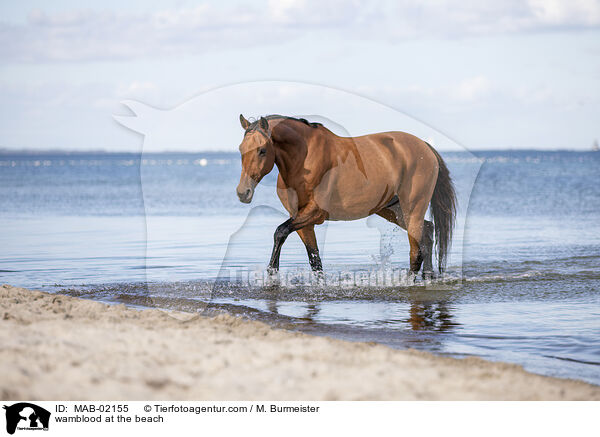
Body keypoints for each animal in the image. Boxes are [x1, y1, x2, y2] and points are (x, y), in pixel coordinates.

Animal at [237, 114, 458, 278]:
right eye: (240, 150)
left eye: (262, 150)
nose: (243, 192)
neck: (304, 159)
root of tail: (424, 147)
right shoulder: (301, 220)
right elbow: (314, 260)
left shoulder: (314, 212)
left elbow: (280, 232)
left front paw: (272, 273)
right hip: (392, 210)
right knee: (427, 232)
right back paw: (428, 277)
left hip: (412, 209)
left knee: (416, 252)